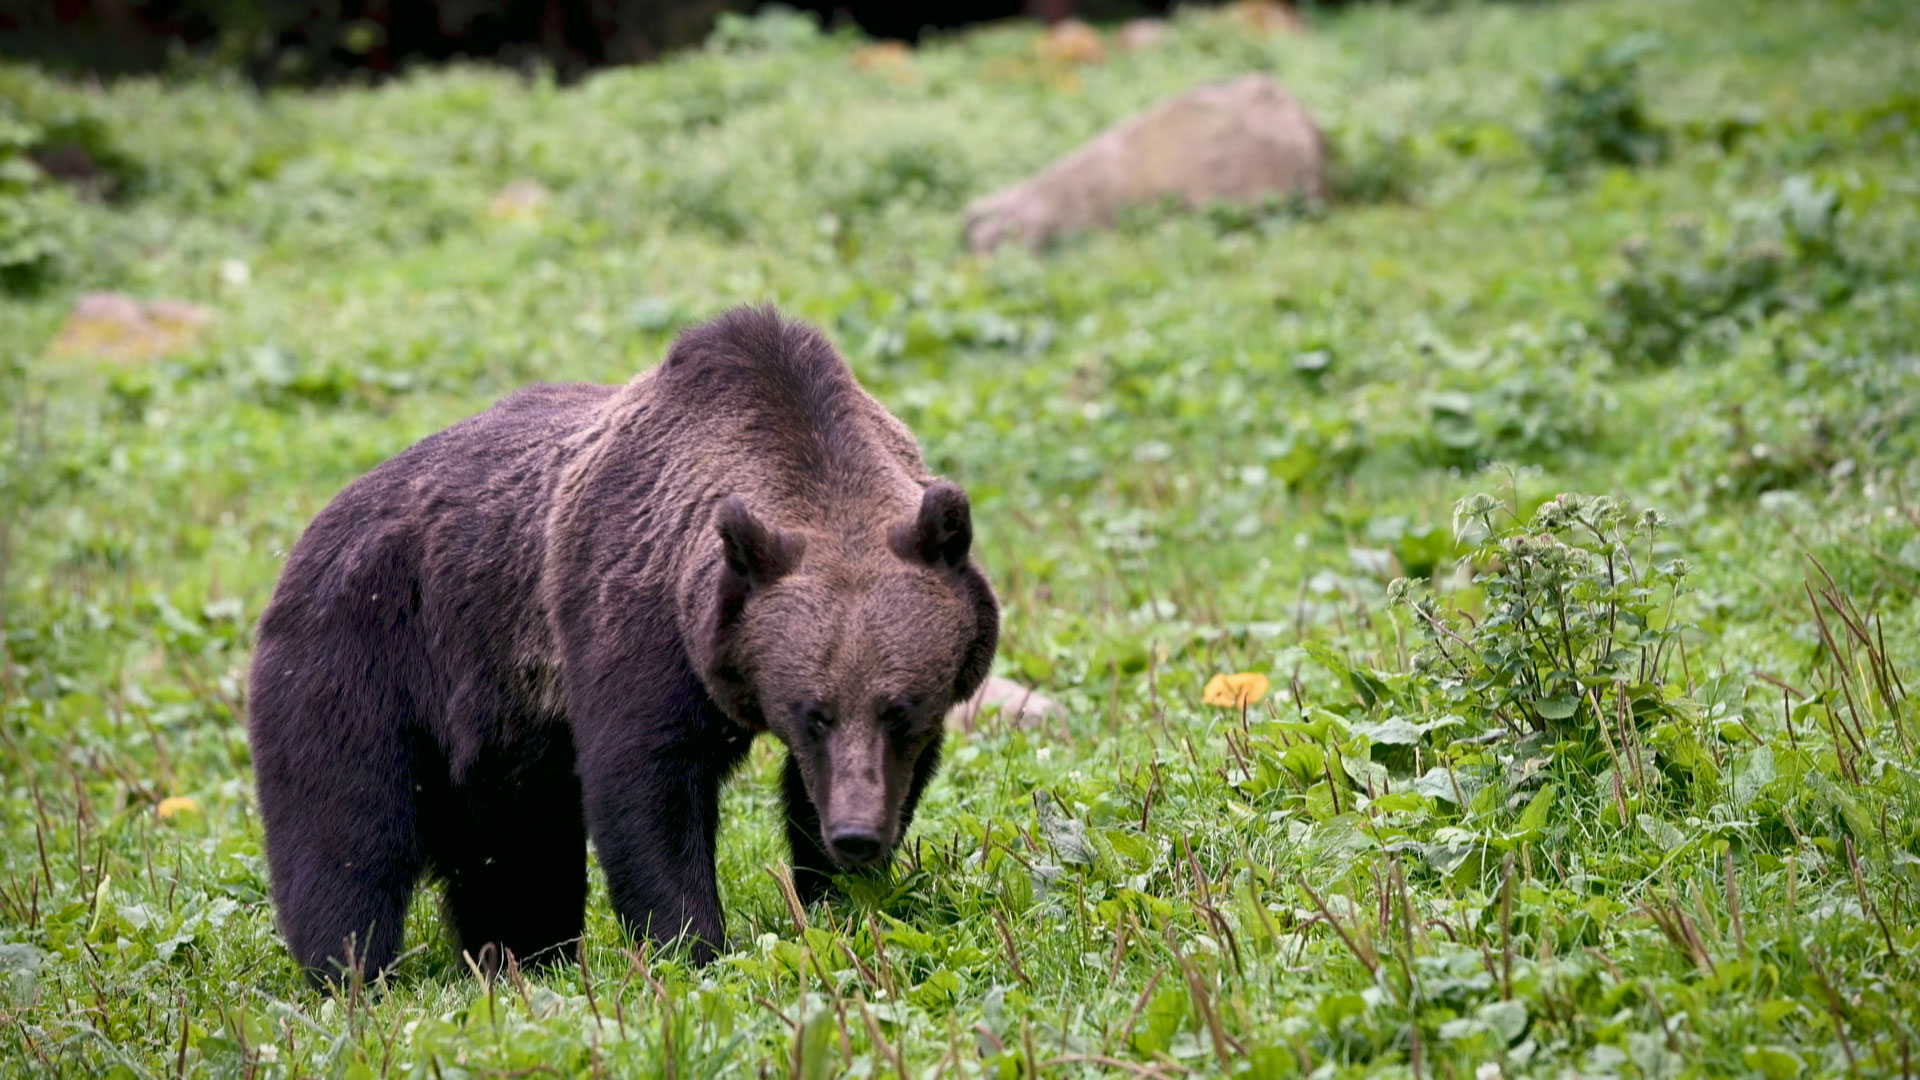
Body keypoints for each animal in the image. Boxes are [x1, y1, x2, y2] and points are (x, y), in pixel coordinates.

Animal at [245, 305, 998, 983]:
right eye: (812, 712)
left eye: (900, 710)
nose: (856, 835)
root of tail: (307, 534)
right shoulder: (636, 620)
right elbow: (646, 792)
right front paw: (693, 946)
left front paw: (837, 901)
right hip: (366, 655)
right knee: (349, 833)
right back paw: (356, 972)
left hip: (498, 733)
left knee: (515, 854)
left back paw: (518, 959)